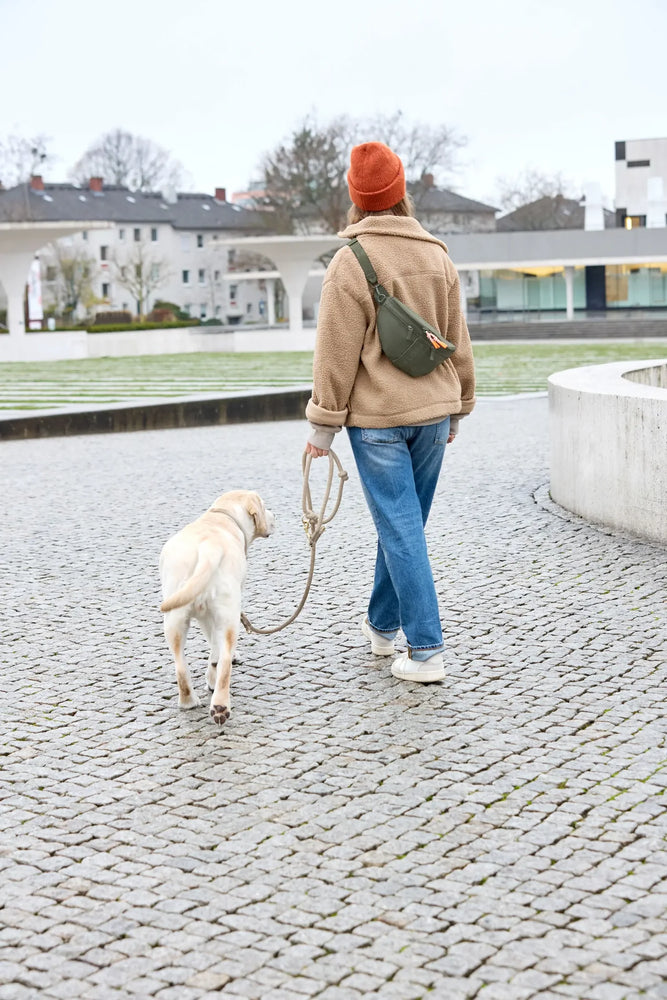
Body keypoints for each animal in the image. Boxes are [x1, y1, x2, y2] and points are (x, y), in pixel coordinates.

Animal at [159, 488, 274, 724]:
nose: (274, 515)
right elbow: (216, 651)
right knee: (224, 661)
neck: (220, 518)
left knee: (180, 664)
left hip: (174, 617)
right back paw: (220, 705)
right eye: (264, 506)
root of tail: (208, 548)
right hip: (227, 615)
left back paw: (188, 702)